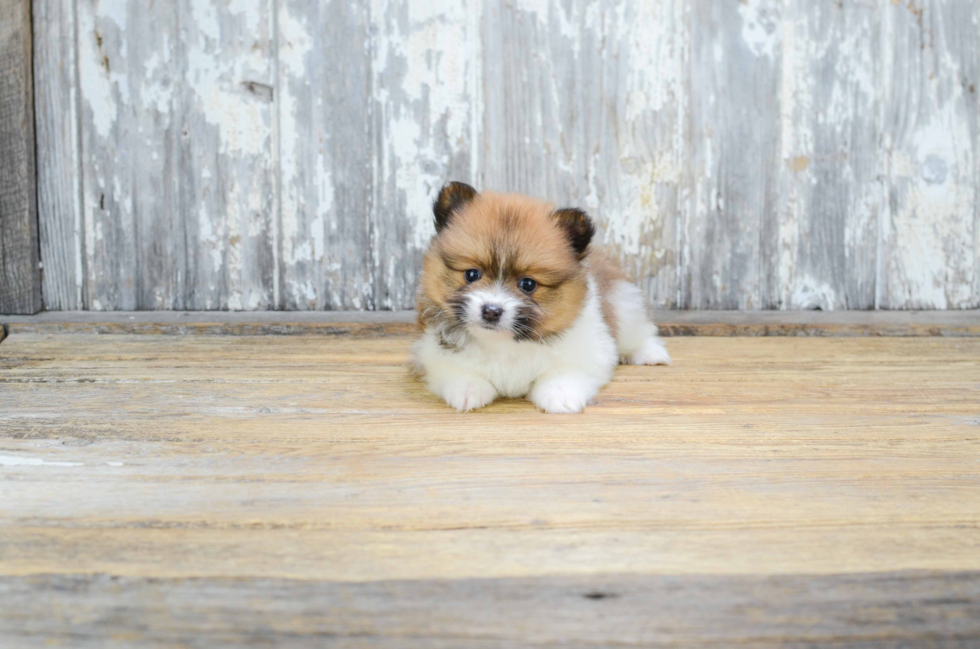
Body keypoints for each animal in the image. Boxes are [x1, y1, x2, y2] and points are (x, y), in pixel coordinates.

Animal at [410, 180, 668, 412]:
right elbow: (456, 370)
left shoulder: (590, 350)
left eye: (527, 284)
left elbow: (564, 373)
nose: (491, 311)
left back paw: (650, 353)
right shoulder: (430, 351)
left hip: (624, 304)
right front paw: (467, 388)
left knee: (638, 333)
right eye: (472, 274)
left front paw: (560, 395)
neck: (503, 343)